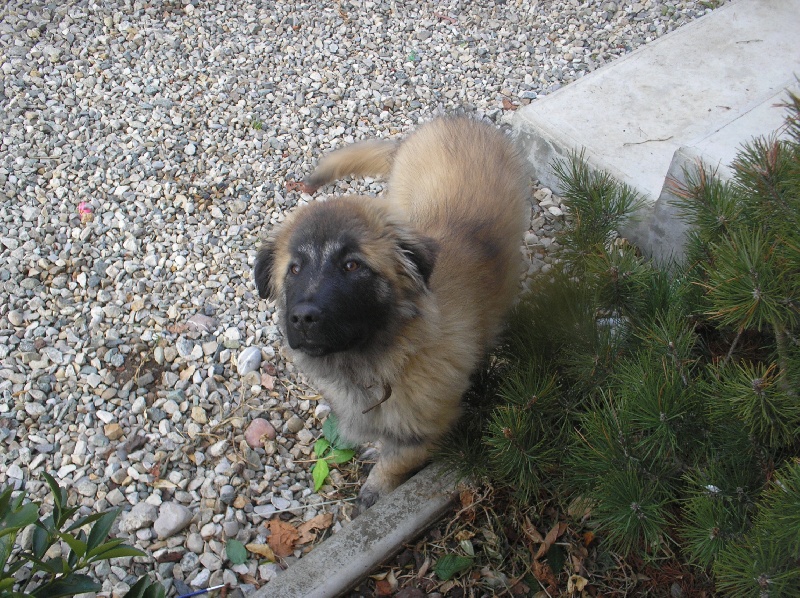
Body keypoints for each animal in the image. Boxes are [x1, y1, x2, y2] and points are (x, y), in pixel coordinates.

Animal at [256, 117, 528, 510]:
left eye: (352, 265)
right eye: (294, 269)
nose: (303, 318)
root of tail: (457, 119)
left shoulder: (429, 426)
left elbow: (397, 459)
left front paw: (375, 490)